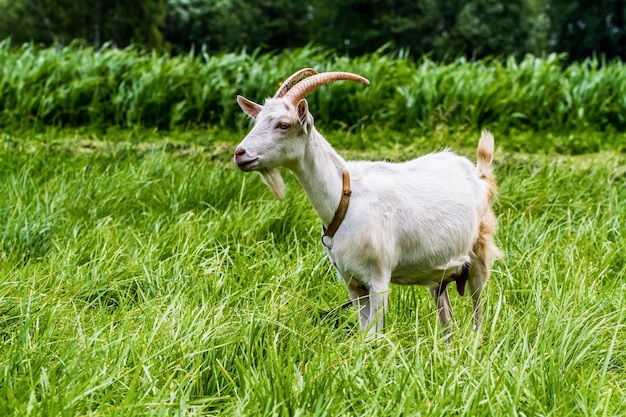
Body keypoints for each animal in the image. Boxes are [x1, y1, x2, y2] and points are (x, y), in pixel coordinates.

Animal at [232, 67, 500, 334]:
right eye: (256, 121)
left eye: (283, 124)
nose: (239, 154)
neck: (344, 199)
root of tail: (479, 176)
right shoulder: (353, 282)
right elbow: (364, 333)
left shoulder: (378, 279)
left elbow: (374, 335)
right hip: (439, 273)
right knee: (447, 320)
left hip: (479, 257)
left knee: (478, 313)